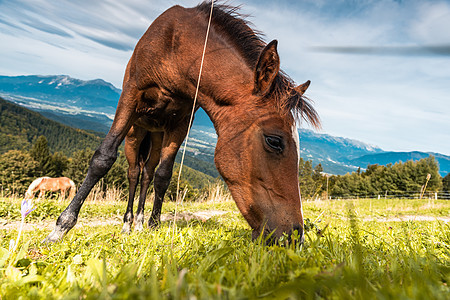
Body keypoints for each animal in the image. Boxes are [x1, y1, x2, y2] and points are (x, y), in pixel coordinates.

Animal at [44, 1, 320, 244]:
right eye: (274, 141)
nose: (294, 236)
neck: (177, 50)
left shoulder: (182, 120)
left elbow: (163, 175)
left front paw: (153, 225)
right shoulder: (131, 95)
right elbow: (103, 158)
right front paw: (61, 227)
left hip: (156, 136)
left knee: (147, 173)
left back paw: (140, 221)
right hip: (135, 133)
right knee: (133, 173)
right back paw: (128, 223)